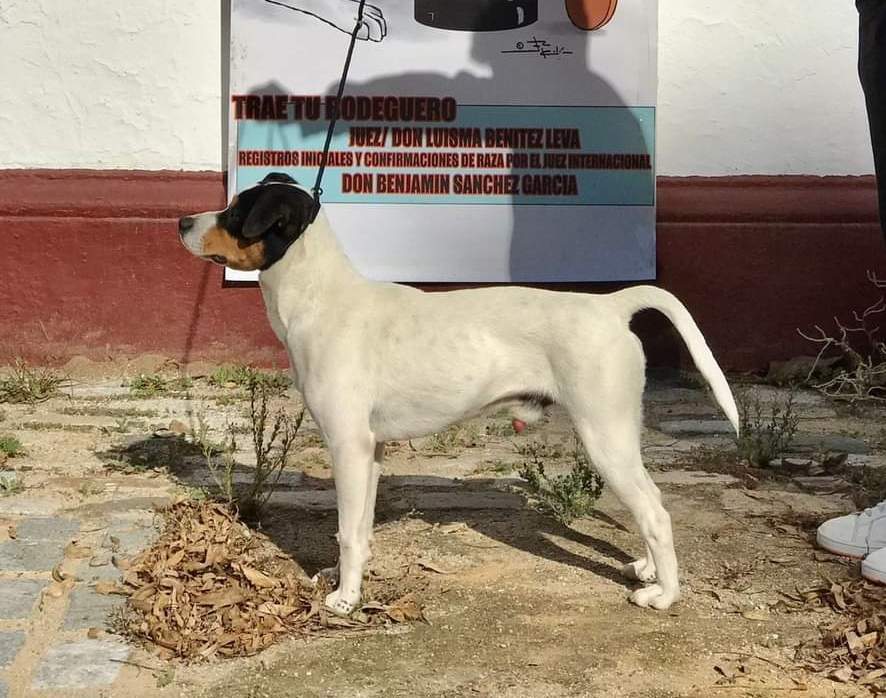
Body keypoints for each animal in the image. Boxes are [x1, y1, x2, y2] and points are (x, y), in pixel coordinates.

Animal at [180, 174, 744, 616]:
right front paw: (351, 584)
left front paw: (345, 600)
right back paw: (648, 569)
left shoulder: (347, 446)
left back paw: (664, 595)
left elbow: (345, 532)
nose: (182, 221)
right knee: (653, 502)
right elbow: (360, 529)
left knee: (655, 511)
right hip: (620, 434)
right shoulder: (370, 451)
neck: (320, 298)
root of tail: (610, 307)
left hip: (604, 436)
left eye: (236, 211)